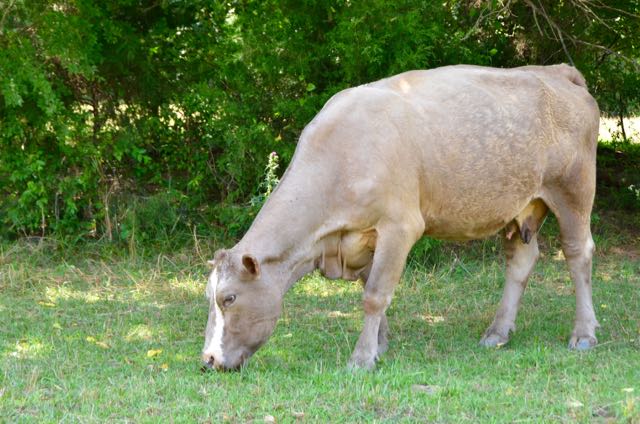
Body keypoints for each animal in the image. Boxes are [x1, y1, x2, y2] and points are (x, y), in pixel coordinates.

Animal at [202, 64, 600, 371]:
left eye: (229, 299)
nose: (207, 360)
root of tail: (556, 71)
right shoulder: (361, 238)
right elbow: (369, 287)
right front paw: (379, 345)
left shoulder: (400, 225)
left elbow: (375, 294)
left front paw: (361, 358)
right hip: (519, 204)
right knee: (521, 260)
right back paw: (497, 332)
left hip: (574, 190)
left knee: (578, 254)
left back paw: (583, 333)